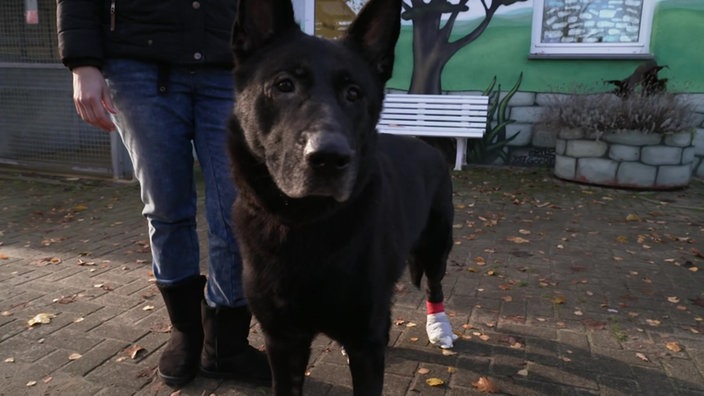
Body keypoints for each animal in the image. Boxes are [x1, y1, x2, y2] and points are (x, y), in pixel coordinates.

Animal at [228, 0, 454, 394]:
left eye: (353, 93)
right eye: (284, 85)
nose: (329, 158)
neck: (304, 224)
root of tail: (427, 146)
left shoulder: (366, 341)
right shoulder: (282, 340)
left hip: (437, 246)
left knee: (434, 284)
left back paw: (439, 325)